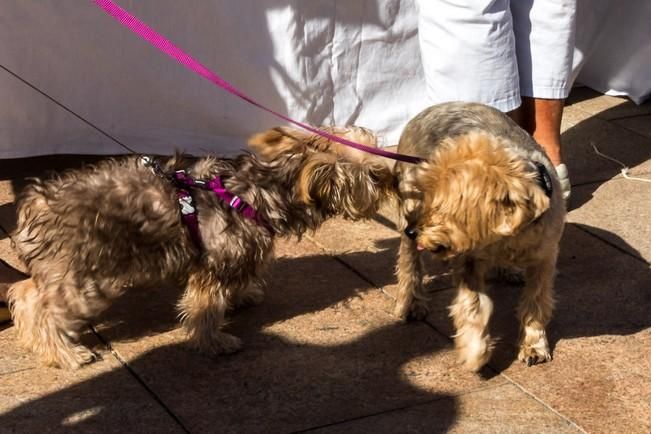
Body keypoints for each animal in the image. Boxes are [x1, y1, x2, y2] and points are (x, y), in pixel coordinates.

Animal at [7, 129, 394, 370]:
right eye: (373, 175)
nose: (391, 178)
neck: (260, 190)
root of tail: (37, 204)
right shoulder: (215, 265)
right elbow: (206, 308)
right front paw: (214, 342)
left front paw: (244, 295)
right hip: (87, 278)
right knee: (44, 310)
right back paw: (66, 354)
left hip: (62, 269)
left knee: (25, 294)